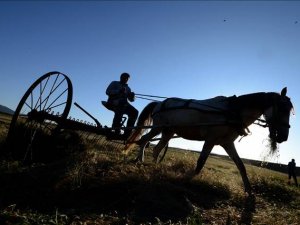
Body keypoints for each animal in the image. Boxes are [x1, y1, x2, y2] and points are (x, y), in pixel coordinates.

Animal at [125, 88, 294, 193]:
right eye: (282, 108)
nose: (283, 137)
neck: (232, 111)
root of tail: (160, 103)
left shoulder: (227, 143)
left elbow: (241, 165)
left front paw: (249, 190)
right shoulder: (211, 139)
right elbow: (200, 162)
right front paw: (188, 181)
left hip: (168, 132)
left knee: (157, 148)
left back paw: (154, 166)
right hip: (158, 127)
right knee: (145, 140)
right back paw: (140, 159)